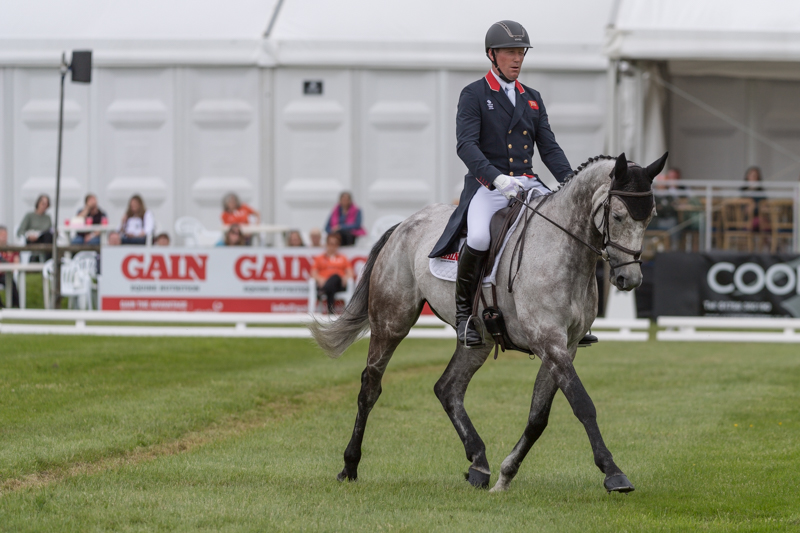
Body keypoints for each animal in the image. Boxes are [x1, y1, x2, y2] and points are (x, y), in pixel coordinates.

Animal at [310, 152, 667, 493]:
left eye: (650, 217)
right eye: (618, 216)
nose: (628, 279)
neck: (563, 249)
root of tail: (404, 224)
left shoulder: (565, 346)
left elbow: (538, 416)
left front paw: (506, 474)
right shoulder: (548, 341)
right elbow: (582, 404)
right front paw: (613, 473)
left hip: (477, 339)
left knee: (448, 388)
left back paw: (479, 464)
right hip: (391, 321)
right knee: (370, 386)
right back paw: (350, 466)